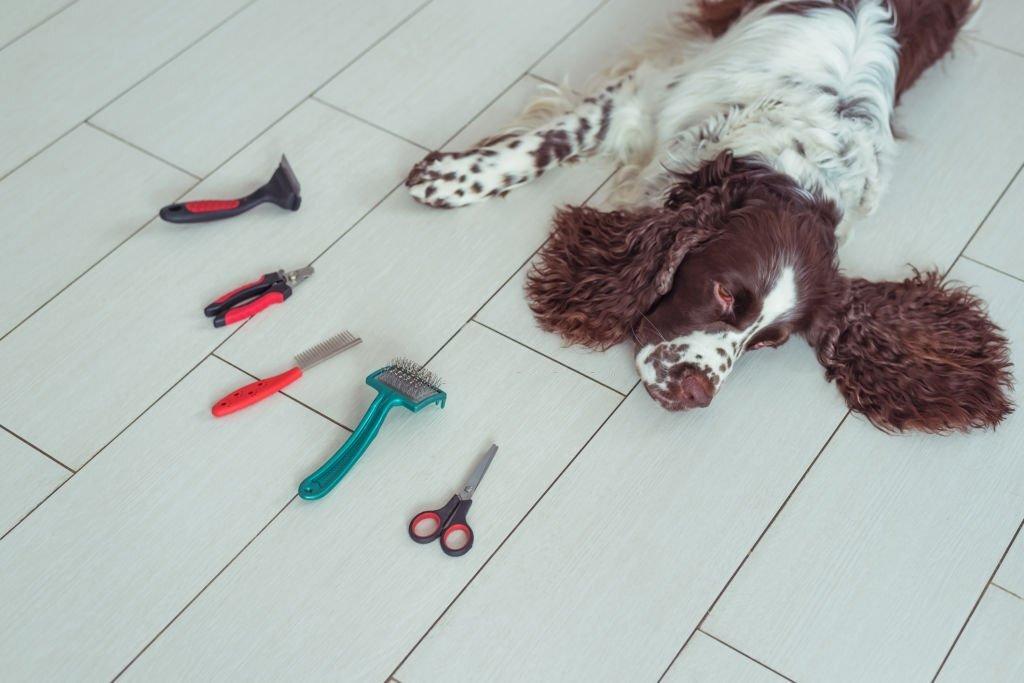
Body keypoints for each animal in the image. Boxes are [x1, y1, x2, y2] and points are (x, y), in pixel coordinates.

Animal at [403, 1, 1011, 432]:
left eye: (768, 344)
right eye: (722, 293)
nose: (696, 395)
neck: (788, 156)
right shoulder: (651, 98)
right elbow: (549, 141)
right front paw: (453, 178)